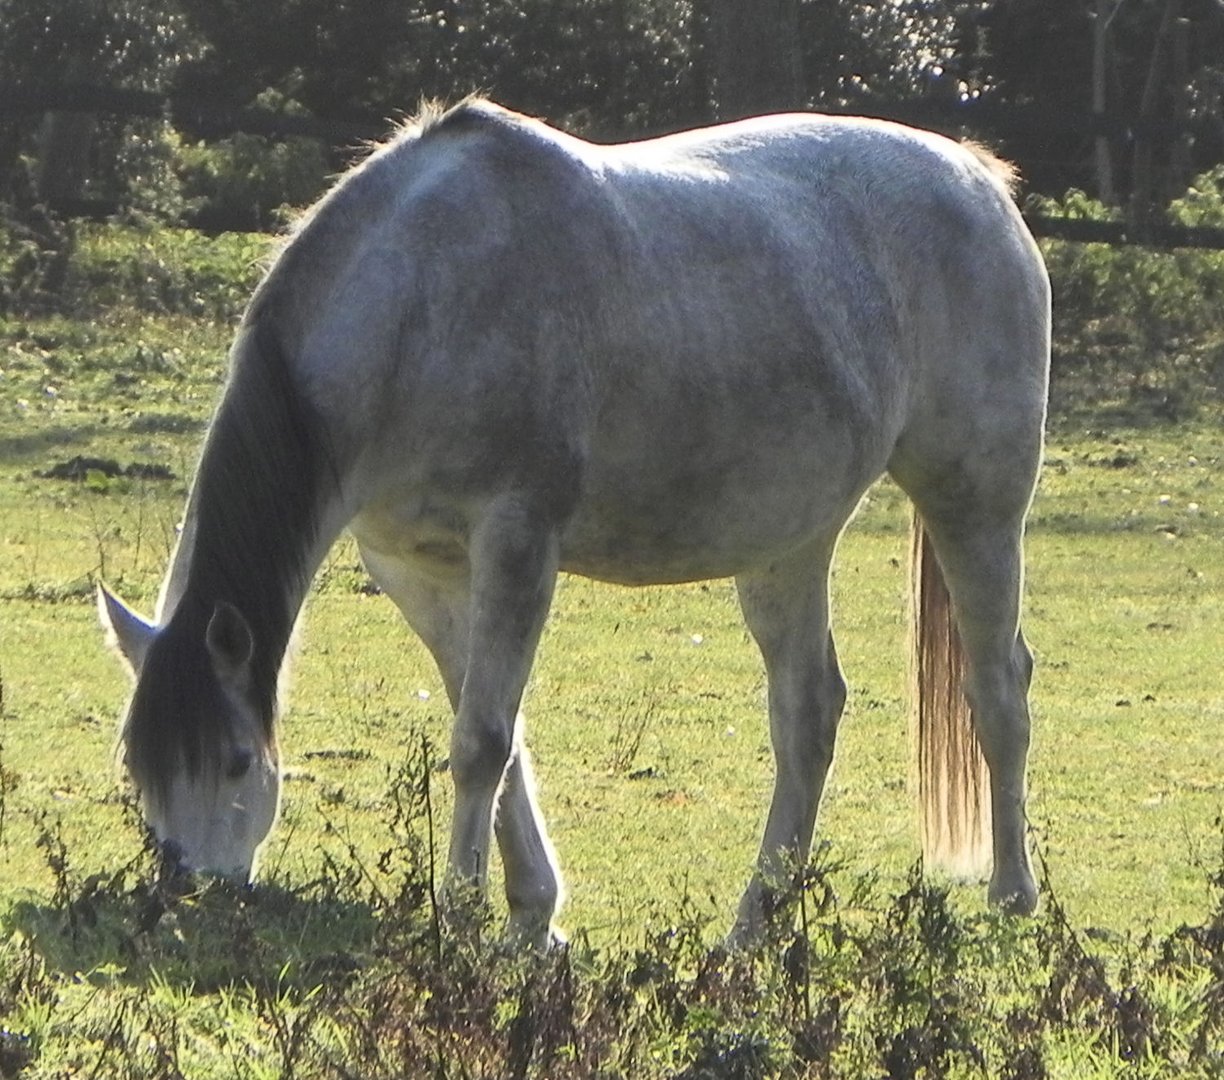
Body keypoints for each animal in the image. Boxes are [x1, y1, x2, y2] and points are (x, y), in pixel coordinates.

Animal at [97, 99, 1052, 940]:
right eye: (141, 767)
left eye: (234, 760)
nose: (191, 893)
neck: (425, 296)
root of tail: (978, 174)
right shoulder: (418, 570)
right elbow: (497, 733)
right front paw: (531, 914)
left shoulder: (517, 541)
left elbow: (481, 742)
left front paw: (461, 923)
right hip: (787, 546)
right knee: (808, 715)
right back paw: (753, 927)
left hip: (975, 506)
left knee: (997, 687)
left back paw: (1012, 896)